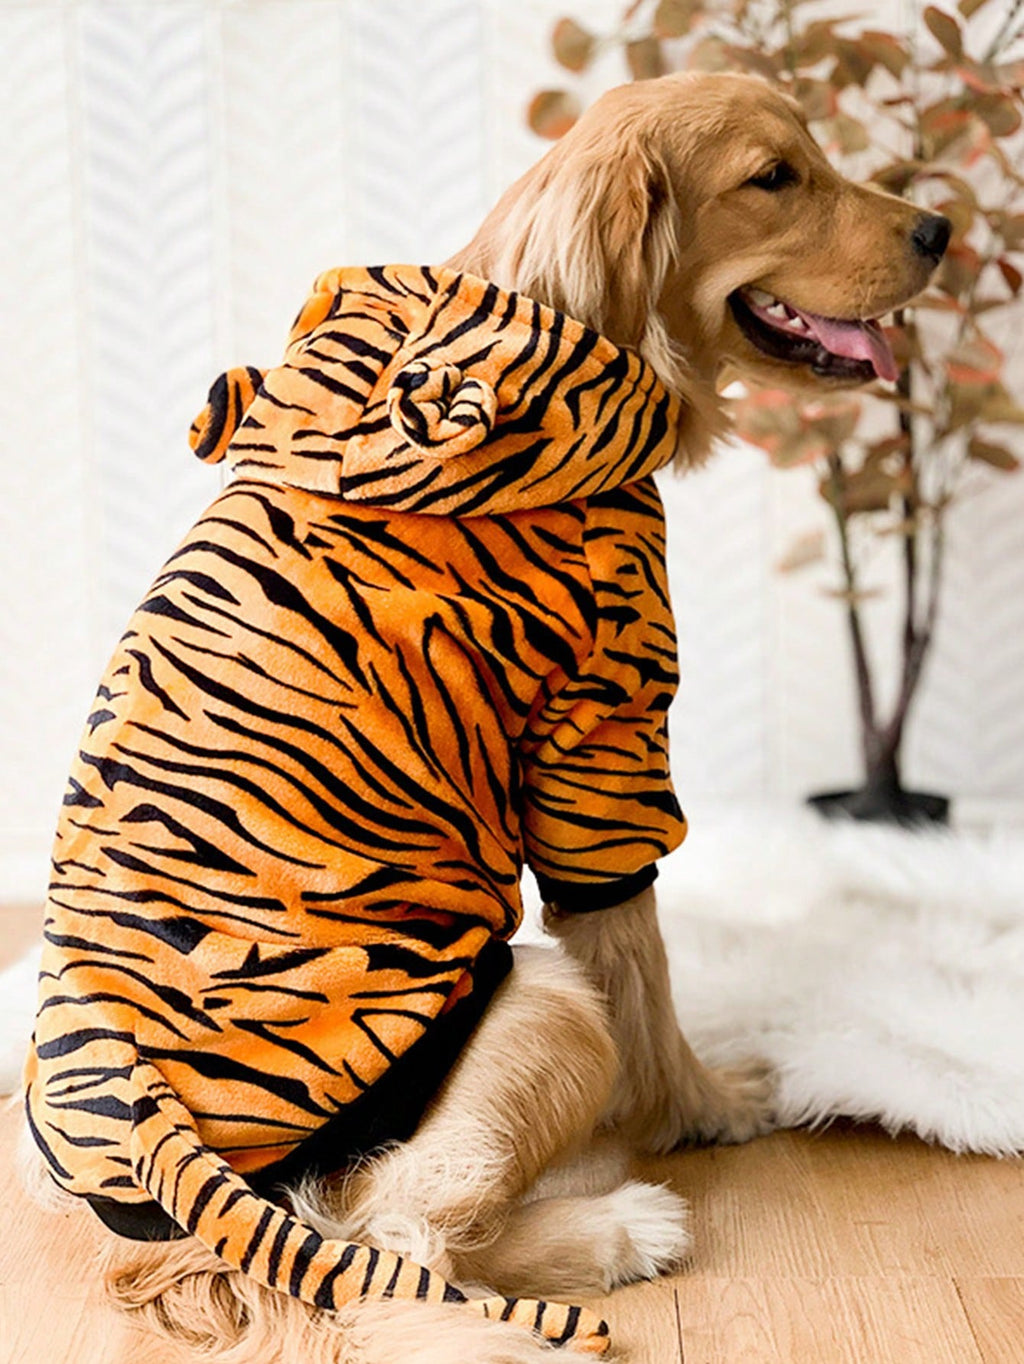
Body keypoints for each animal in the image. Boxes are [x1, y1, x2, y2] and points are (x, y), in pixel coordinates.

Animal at [23, 263, 690, 1355]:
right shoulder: (607, 707)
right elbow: (630, 940)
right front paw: (708, 1107)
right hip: (539, 1015)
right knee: (394, 1235)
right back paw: (626, 1228)